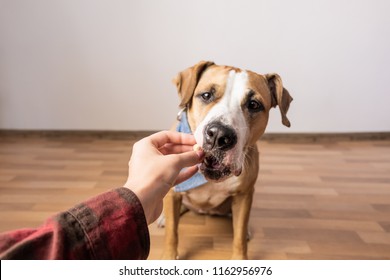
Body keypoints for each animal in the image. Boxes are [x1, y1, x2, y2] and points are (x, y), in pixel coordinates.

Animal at [161, 60, 292, 260]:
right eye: (206, 95)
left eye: (253, 104)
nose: (219, 135)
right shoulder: (173, 192)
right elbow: (171, 232)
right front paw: (168, 255)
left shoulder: (244, 195)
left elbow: (239, 235)